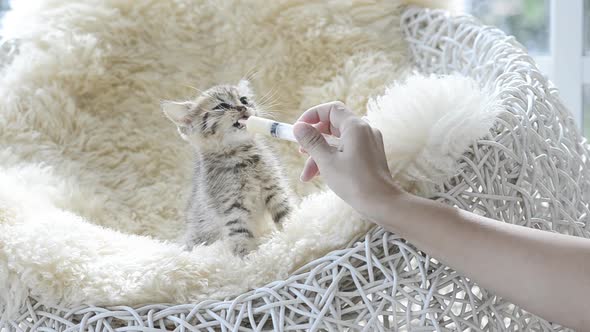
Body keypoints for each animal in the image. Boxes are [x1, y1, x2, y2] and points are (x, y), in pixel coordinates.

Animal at [163, 80, 294, 256]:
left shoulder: (275, 189)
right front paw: (250, 258)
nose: (242, 107)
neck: (243, 158)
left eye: (244, 99)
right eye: (222, 106)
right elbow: (241, 238)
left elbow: (286, 214)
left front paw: (295, 229)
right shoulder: (232, 209)